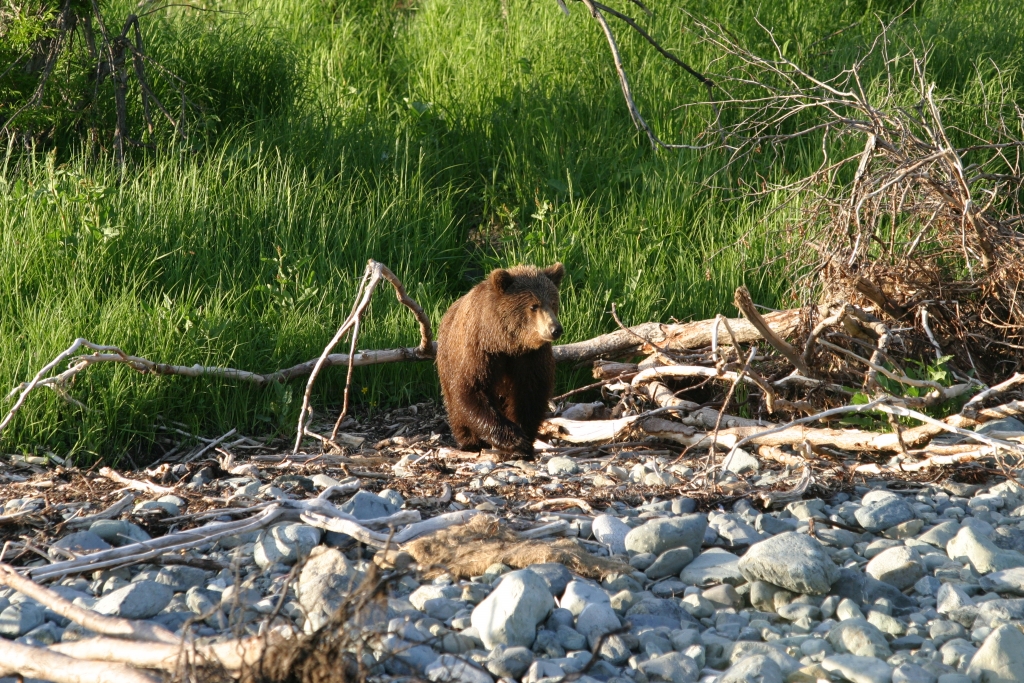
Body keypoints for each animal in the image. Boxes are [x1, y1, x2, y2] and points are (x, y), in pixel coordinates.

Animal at [434, 264, 569, 456]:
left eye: (553, 302)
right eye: (534, 306)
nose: (555, 329)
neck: (506, 342)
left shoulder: (530, 356)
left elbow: (531, 392)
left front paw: (524, 437)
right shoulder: (480, 351)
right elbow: (471, 390)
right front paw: (514, 439)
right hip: (447, 359)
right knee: (454, 408)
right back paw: (470, 442)